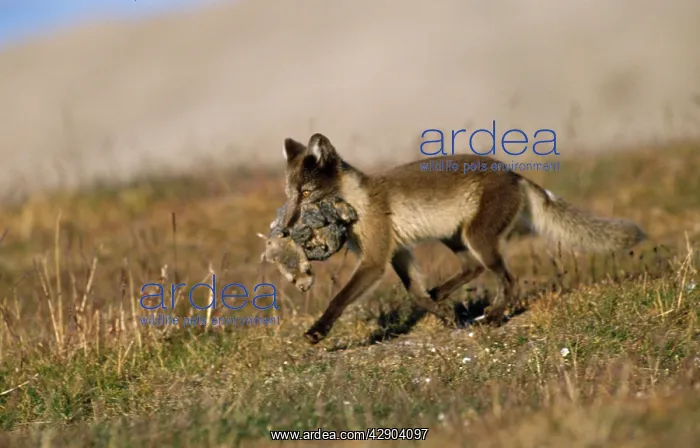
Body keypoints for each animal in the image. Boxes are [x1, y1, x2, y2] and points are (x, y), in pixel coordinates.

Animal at [276, 133, 646, 344]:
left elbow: (339, 299)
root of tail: (512, 173)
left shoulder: (374, 261)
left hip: (478, 239)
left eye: (306, 193)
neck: (358, 201)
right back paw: (445, 296)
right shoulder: (397, 253)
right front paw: (444, 316)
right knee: (473, 269)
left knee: (507, 280)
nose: (287, 228)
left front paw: (318, 331)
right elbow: (416, 294)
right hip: (456, 238)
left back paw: (494, 317)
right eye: (290, 195)